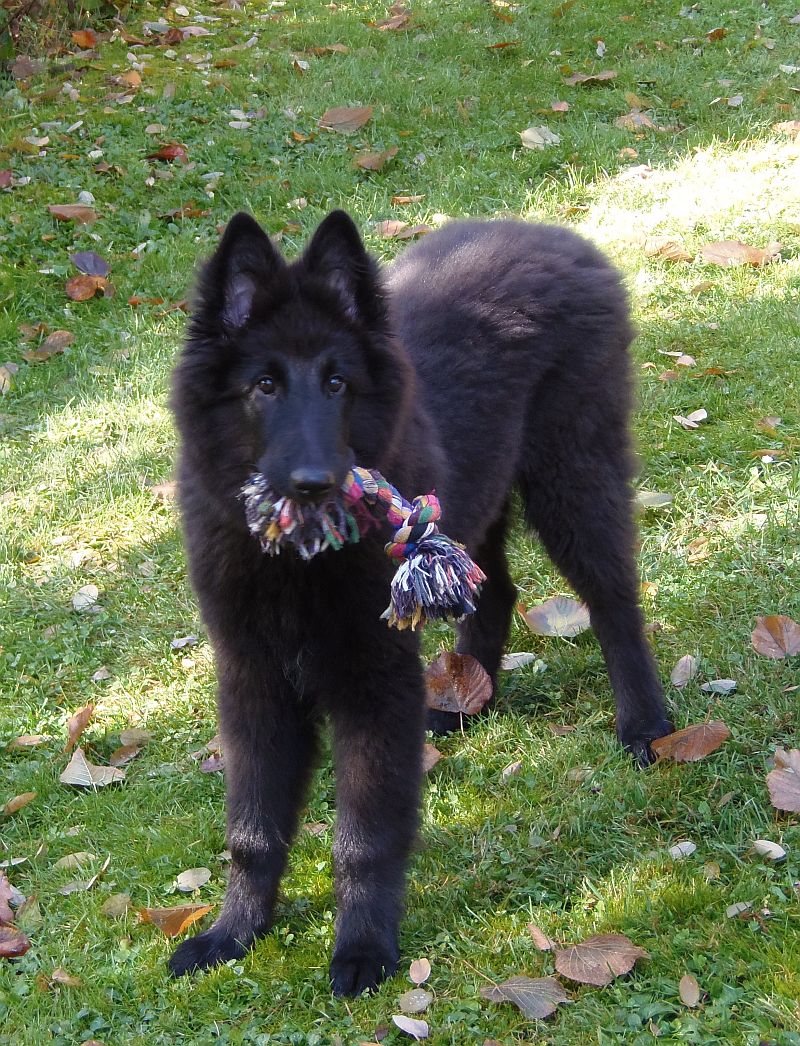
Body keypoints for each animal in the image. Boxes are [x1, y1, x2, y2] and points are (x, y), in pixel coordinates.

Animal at [168, 210, 672, 995]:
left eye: (337, 382)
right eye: (264, 385)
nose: (314, 482)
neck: (300, 562)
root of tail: (554, 234)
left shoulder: (375, 676)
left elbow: (365, 835)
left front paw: (363, 950)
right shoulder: (252, 676)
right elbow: (251, 828)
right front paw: (234, 933)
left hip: (573, 471)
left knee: (615, 600)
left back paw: (645, 724)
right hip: (481, 494)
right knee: (497, 590)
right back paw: (463, 703)